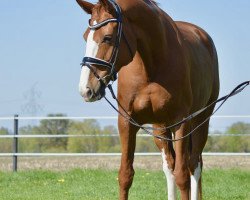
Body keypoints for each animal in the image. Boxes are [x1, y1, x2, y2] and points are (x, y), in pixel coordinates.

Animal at [76, 0, 219, 200]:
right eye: (85, 37)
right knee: (170, 165)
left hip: (201, 120)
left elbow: (182, 176)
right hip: (161, 127)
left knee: (193, 164)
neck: (151, 66)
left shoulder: (181, 122)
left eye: (107, 38)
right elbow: (125, 175)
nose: (86, 89)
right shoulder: (127, 123)